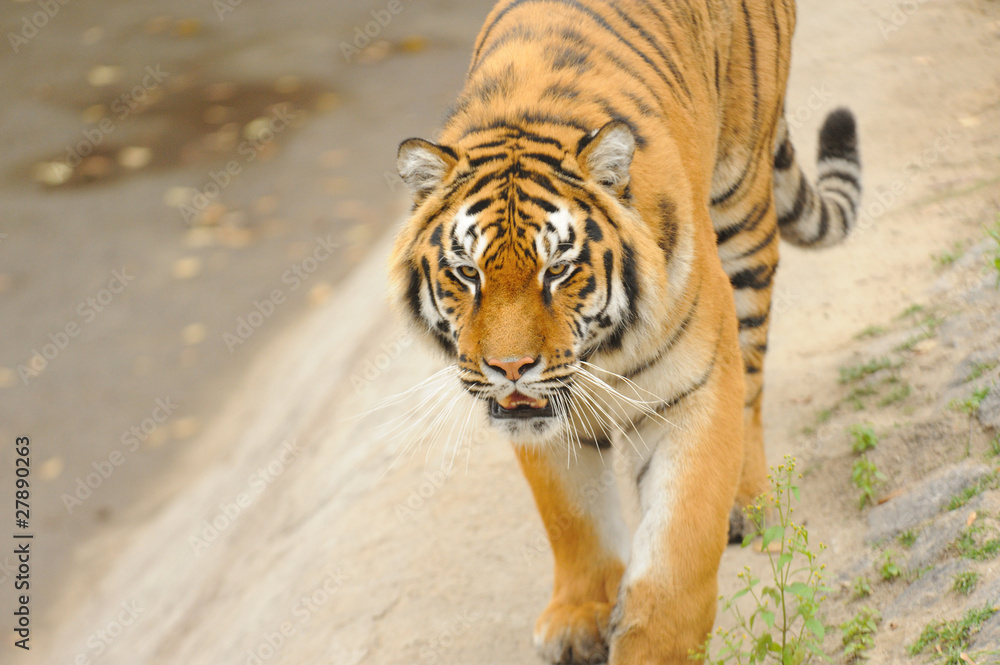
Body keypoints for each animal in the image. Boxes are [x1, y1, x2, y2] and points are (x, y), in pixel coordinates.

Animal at [388, 0, 861, 662]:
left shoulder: (693, 390)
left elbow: (678, 549)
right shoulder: (536, 419)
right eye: (467, 273)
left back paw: (748, 501)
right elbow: (571, 518)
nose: (510, 368)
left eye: (558, 270)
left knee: (752, 380)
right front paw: (578, 617)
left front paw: (656, 644)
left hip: (744, 212)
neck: (599, 354)